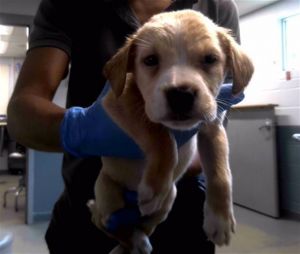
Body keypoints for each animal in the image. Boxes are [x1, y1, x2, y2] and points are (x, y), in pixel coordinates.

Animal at [88, 8, 254, 253]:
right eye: (150, 60)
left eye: (210, 59)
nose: (181, 95)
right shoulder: (119, 102)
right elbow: (161, 137)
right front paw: (155, 185)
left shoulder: (213, 128)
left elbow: (221, 173)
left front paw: (220, 220)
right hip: (107, 195)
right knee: (106, 223)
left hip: (168, 200)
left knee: (142, 226)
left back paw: (139, 241)